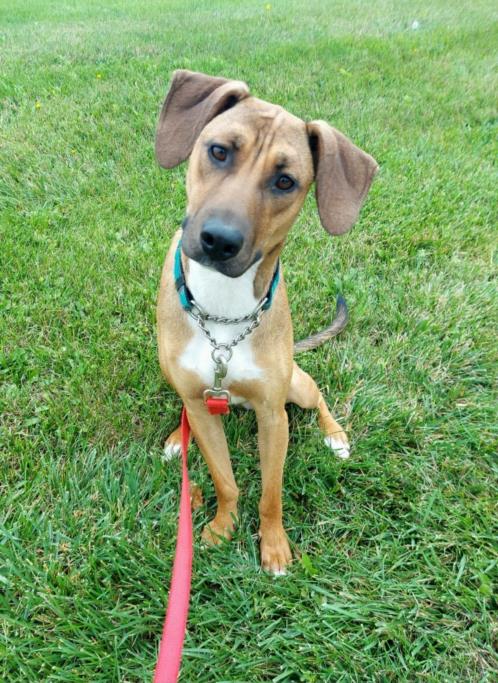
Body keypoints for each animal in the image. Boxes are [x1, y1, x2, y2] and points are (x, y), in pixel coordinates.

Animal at [154, 69, 376, 576]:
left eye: (285, 181)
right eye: (218, 151)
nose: (219, 240)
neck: (221, 313)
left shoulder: (274, 417)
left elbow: (271, 493)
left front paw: (274, 546)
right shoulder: (201, 405)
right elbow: (225, 480)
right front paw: (222, 527)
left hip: (297, 384)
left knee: (319, 398)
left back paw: (335, 436)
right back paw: (178, 439)